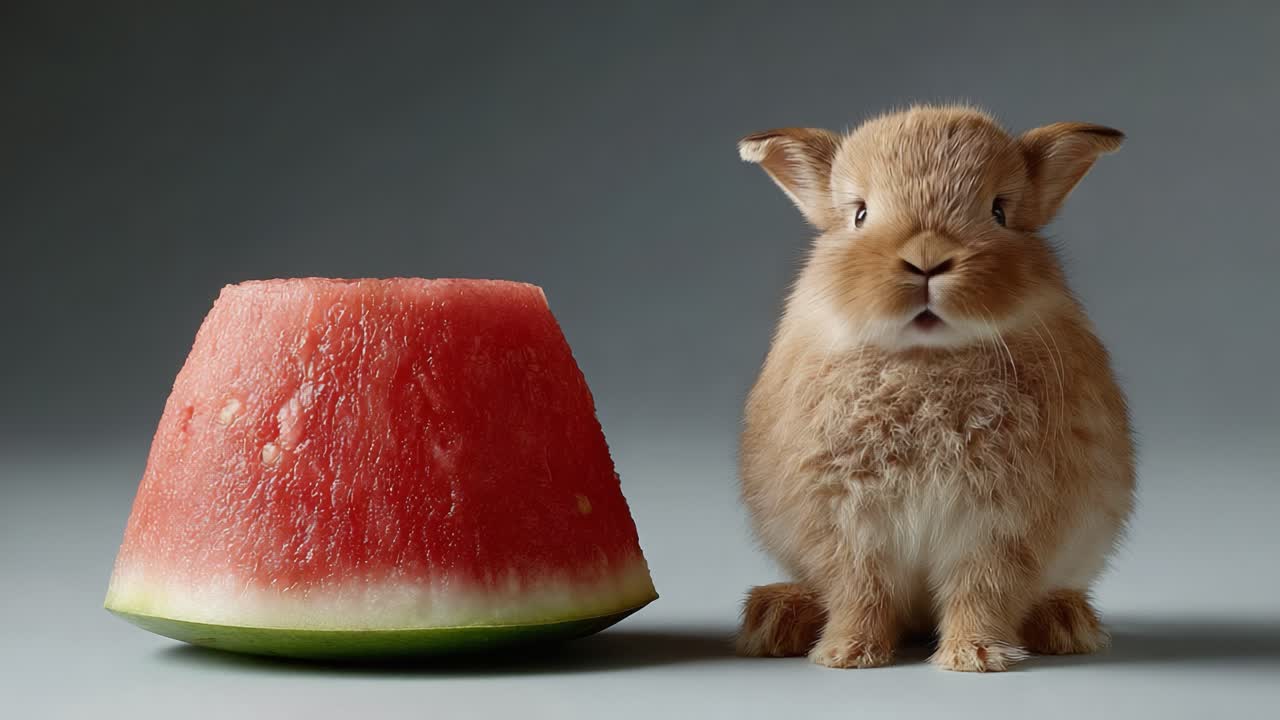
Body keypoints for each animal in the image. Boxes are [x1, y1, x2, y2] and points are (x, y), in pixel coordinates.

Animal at [734, 105, 1135, 672]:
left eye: (998, 212)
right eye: (859, 215)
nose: (928, 258)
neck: (926, 359)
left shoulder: (1000, 528)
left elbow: (982, 591)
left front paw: (975, 656)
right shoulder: (849, 527)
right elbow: (860, 593)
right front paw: (847, 654)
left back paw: (1065, 622)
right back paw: (777, 616)